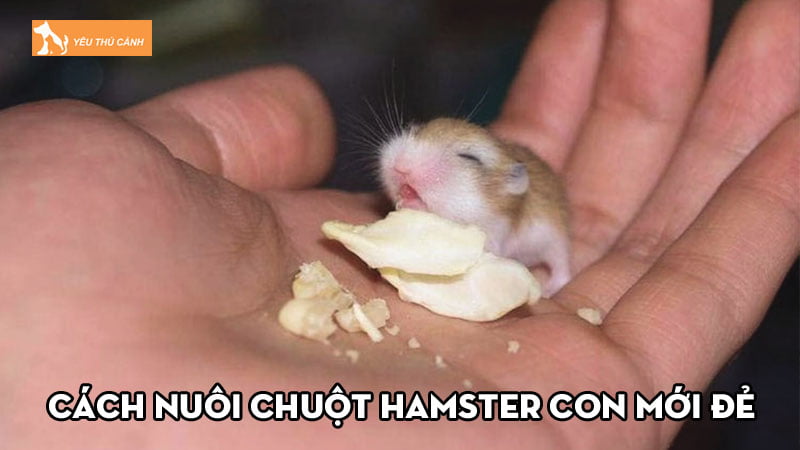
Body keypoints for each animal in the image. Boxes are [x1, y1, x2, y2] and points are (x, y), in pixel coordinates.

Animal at [378, 118, 570, 297]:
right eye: (415, 130)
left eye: (469, 157)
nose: (400, 166)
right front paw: (401, 200)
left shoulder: (492, 239)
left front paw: (409, 202)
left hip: (556, 243)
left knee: (563, 269)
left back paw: (547, 291)